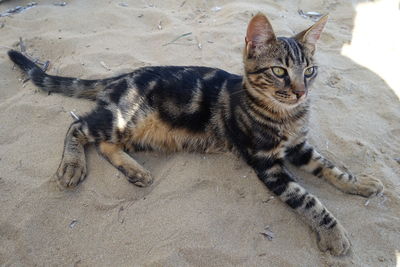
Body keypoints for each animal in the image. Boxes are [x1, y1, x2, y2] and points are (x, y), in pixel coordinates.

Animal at [8, 13, 384, 256]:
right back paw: (72, 166)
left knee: (104, 144)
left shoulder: (299, 147)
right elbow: (308, 199)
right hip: (125, 118)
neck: (286, 116)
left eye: (310, 71)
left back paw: (137, 171)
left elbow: (331, 167)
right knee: (79, 127)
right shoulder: (267, 163)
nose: (301, 92)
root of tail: (120, 77)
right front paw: (333, 233)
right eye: (279, 72)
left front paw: (360, 183)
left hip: (137, 131)